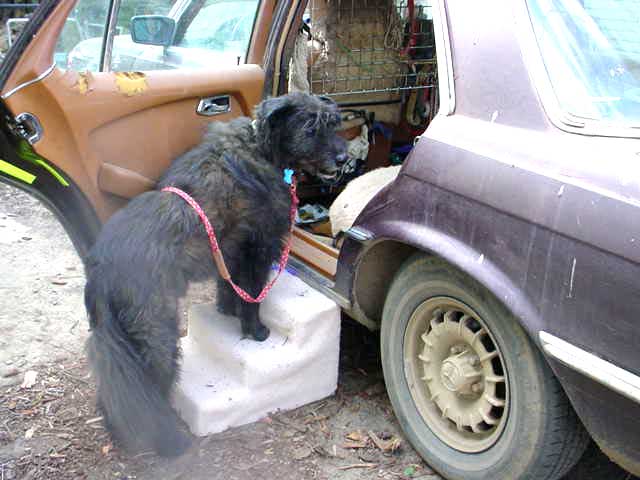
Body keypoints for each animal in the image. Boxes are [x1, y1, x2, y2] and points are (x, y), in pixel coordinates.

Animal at [84, 93, 348, 458]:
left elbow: (230, 288)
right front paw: (255, 331)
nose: (344, 159)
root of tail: (102, 268)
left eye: (334, 123)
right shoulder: (257, 250)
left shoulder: (231, 252)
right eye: (310, 128)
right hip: (156, 338)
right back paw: (170, 444)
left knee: (116, 394)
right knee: (144, 394)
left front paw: (227, 311)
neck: (262, 146)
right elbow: (252, 298)